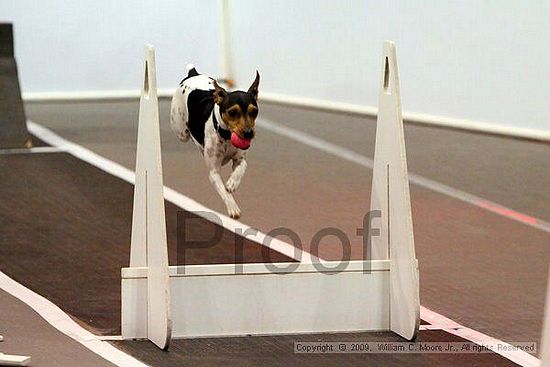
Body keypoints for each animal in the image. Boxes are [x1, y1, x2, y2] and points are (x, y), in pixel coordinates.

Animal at [170, 65, 260, 220]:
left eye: (254, 112)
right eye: (232, 112)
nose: (249, 133)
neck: (227, 136)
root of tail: (193, 74)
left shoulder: (240, 159)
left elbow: (241, 169)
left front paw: (232, 182)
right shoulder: (214, 172)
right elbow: (224, 191)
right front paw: (233, 207)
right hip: (181, 132)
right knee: (186, 134)